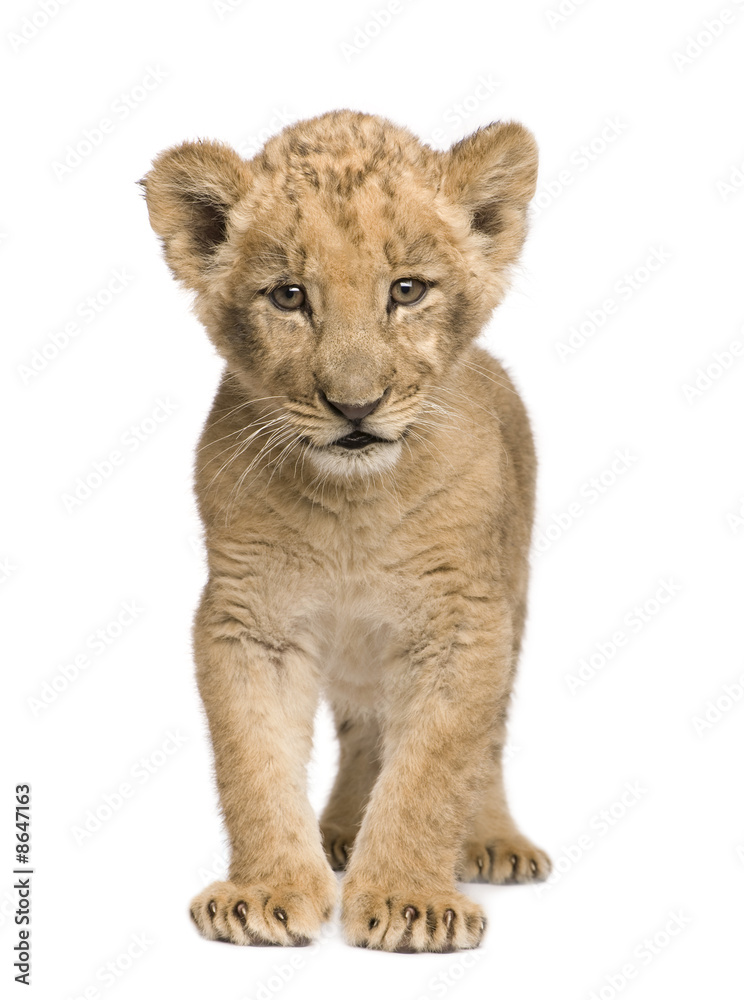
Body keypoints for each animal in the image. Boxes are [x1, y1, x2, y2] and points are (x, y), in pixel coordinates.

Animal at [141, 109, 550, 953]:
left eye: (406, 290)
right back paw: (337, 833)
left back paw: (492, 841)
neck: (352, 510)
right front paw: (265, 892)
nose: (355, 407)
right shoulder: (246, 617)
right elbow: (254, 763)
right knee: (366, 728)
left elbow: (434, 769)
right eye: (289, 295)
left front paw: (409, 901)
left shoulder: (465, 621)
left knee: (486, 741)